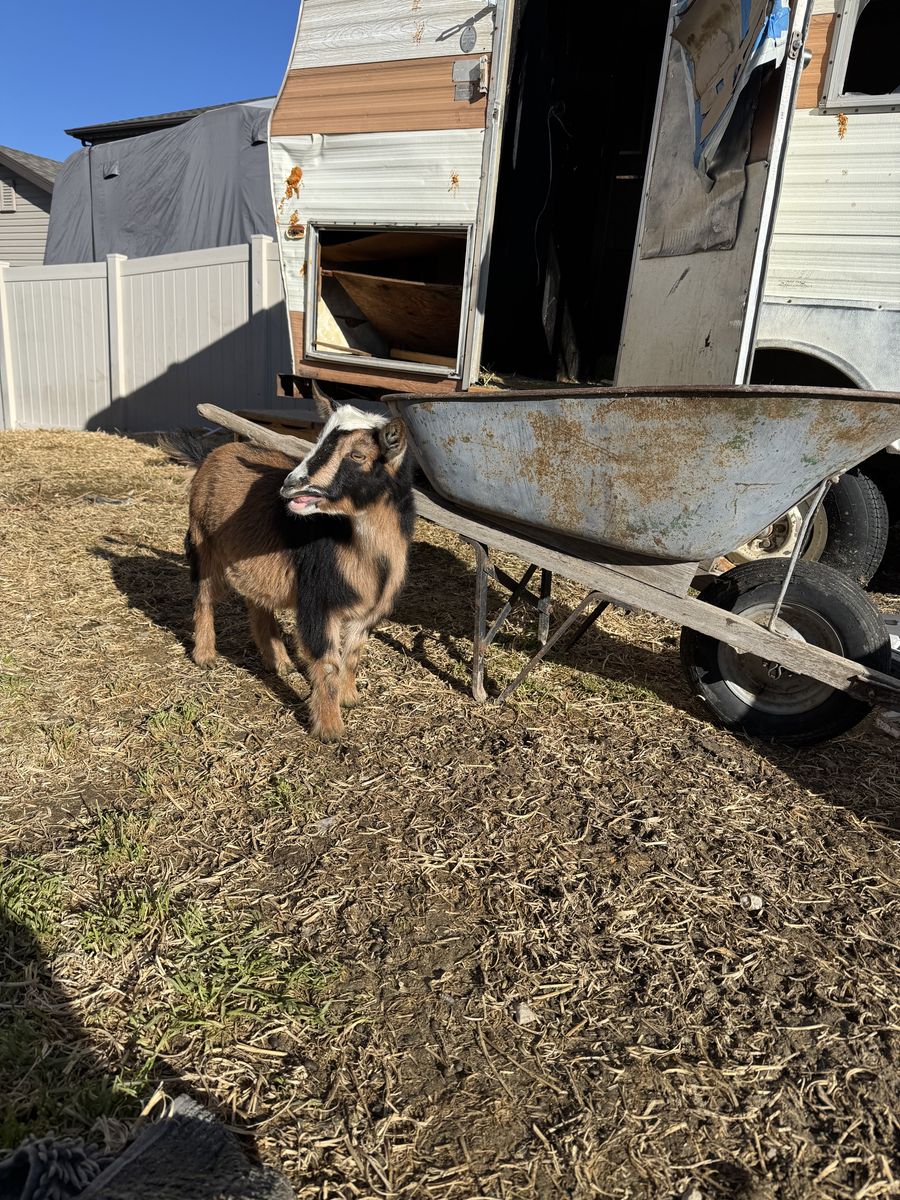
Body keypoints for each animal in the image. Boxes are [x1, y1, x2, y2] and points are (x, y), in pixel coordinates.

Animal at [180, 392, 414, 740]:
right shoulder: (318, 600)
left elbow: (354, 653)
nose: (290, 486)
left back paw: (280, 662)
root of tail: (217, 453)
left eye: (358, 455)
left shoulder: (369, 609)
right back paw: (206, 656)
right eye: (317, 441)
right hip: (203, 543)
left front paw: (350, 698)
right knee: (204, 596)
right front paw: (330, 729)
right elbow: (327, 660)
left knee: (258, 603)